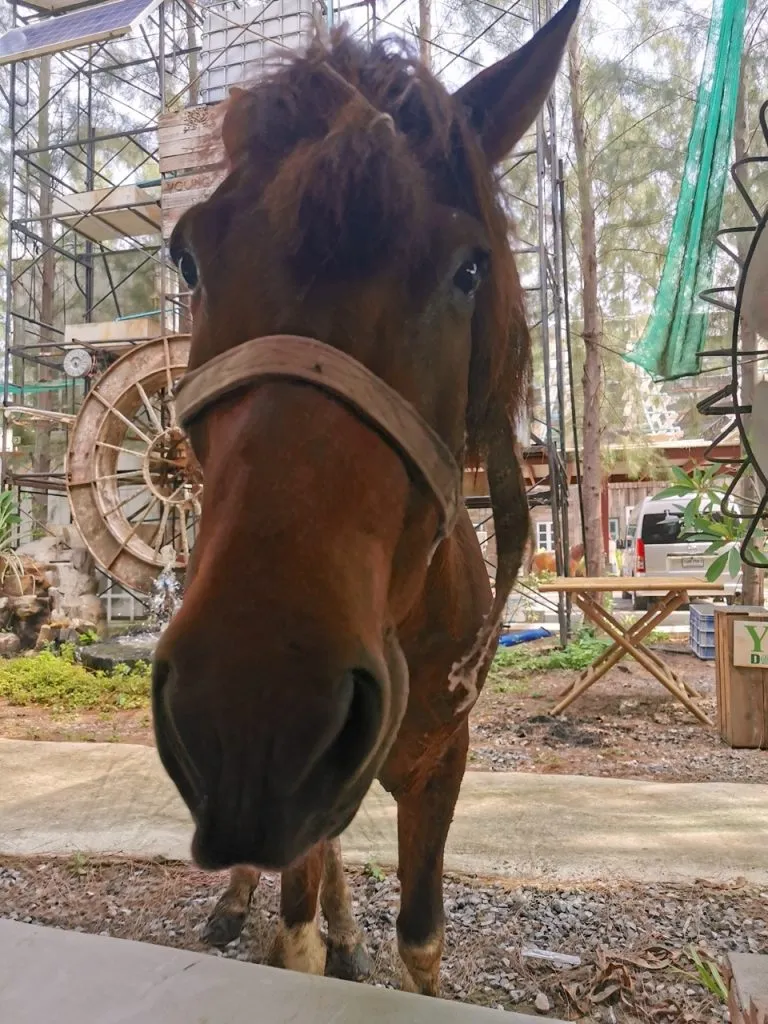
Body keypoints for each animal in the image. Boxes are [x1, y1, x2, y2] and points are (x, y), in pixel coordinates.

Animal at [154, 0, 581, 995]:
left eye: (469, 270)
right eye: (188, 259)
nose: (252, 715)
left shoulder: (441, 761)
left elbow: (421, 941)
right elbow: (294, 932)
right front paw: (288, 923)